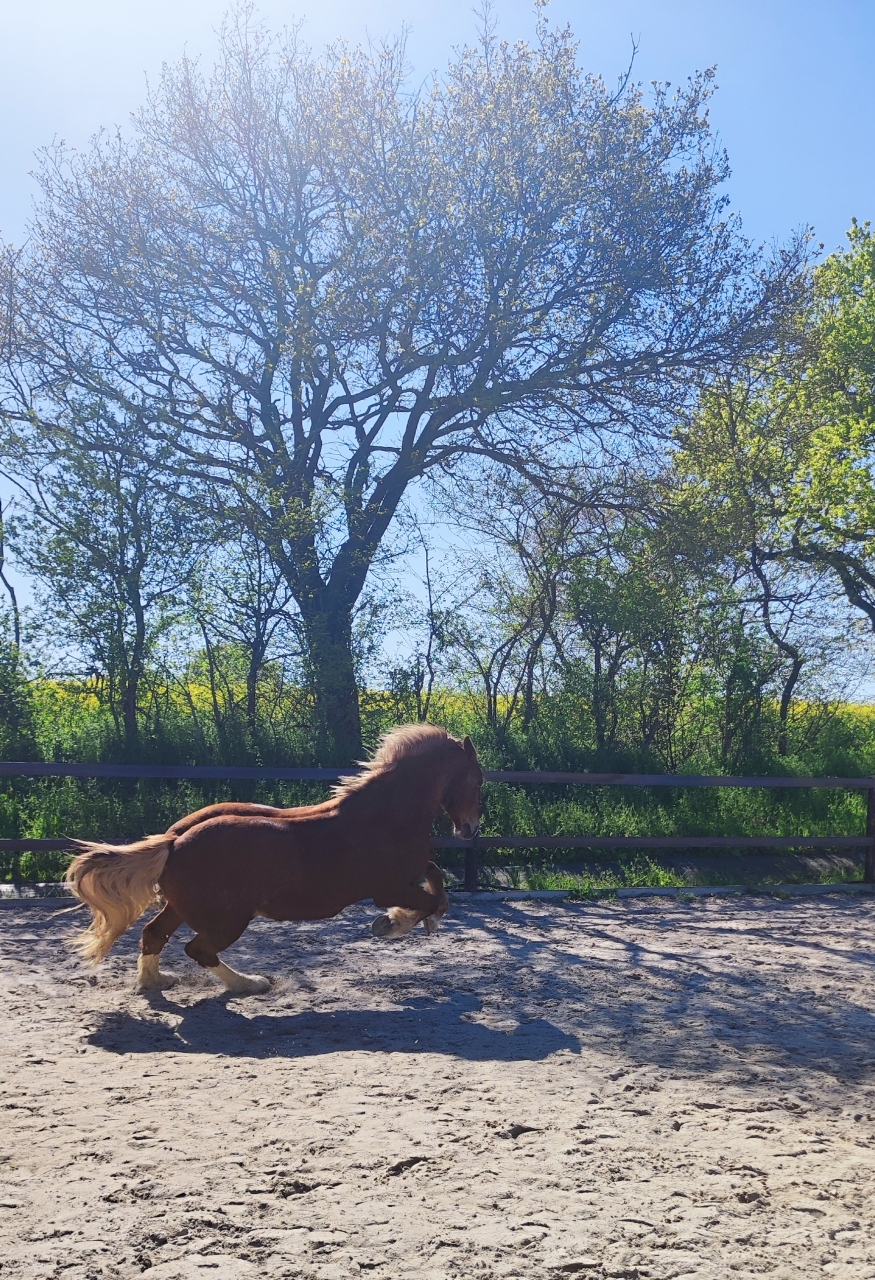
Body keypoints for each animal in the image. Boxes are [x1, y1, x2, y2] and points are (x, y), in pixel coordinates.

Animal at [65, 724, 483, 994]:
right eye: (478, 778)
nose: (470, 830)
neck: (384, 814)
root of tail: (173, 841)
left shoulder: (409, 872)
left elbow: (437, 880)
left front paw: (407, 922)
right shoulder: (389, 886)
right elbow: (432, 899)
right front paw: (393, 924)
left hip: (183, 907)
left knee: (154, 934)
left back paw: (155, 982)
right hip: (227, 918)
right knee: (198, 949)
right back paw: (250, 984)